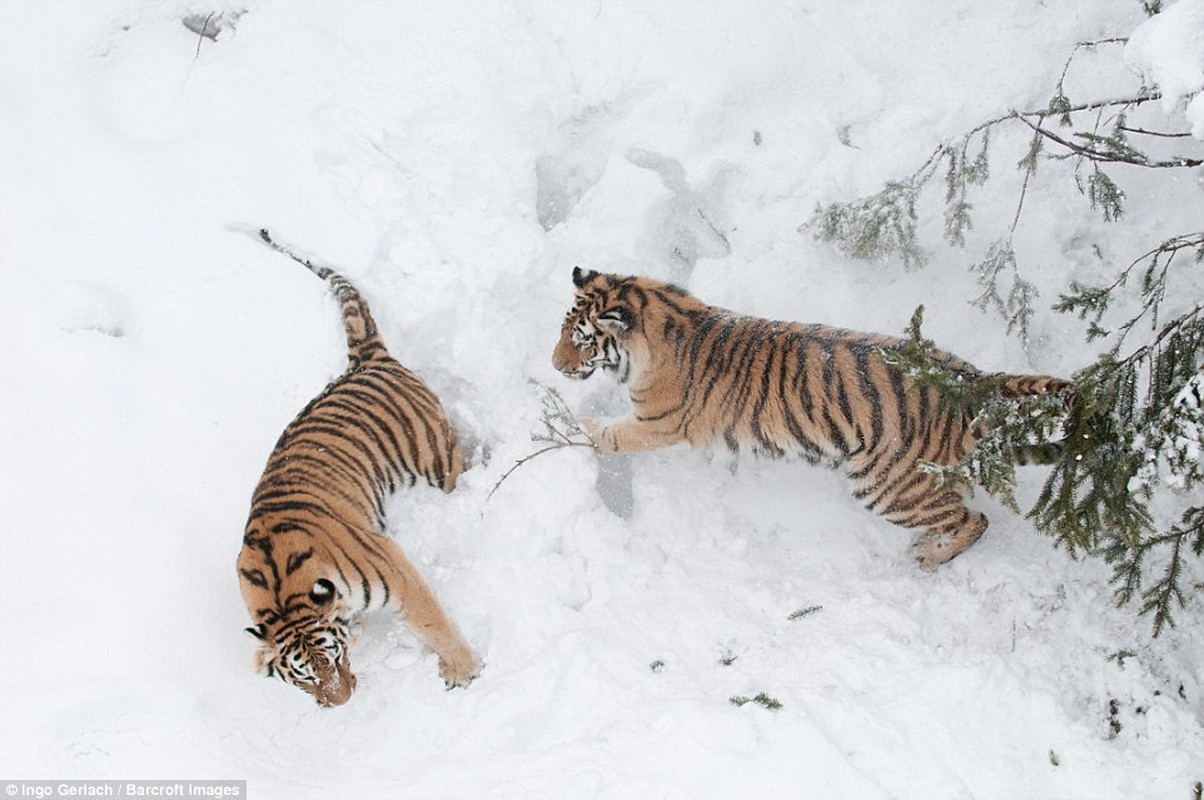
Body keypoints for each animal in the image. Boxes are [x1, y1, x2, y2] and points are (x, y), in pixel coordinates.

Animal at [234, 230, 479, 708]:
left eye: (333, 656)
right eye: (303, 677)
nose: (340, 702)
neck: (284, 597)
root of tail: (366, 360)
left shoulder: (395, 570)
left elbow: (432, 623)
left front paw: (464, 671)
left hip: (436, 462)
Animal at [551, 268, 1069, 568]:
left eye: (582, 339)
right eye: (563, 329)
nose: (555, 364)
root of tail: (971, 379)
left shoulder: (658, 422)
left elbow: (612, 435)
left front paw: (572, 428)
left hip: (887, 486)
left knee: (973, 518)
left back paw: (930, 555)